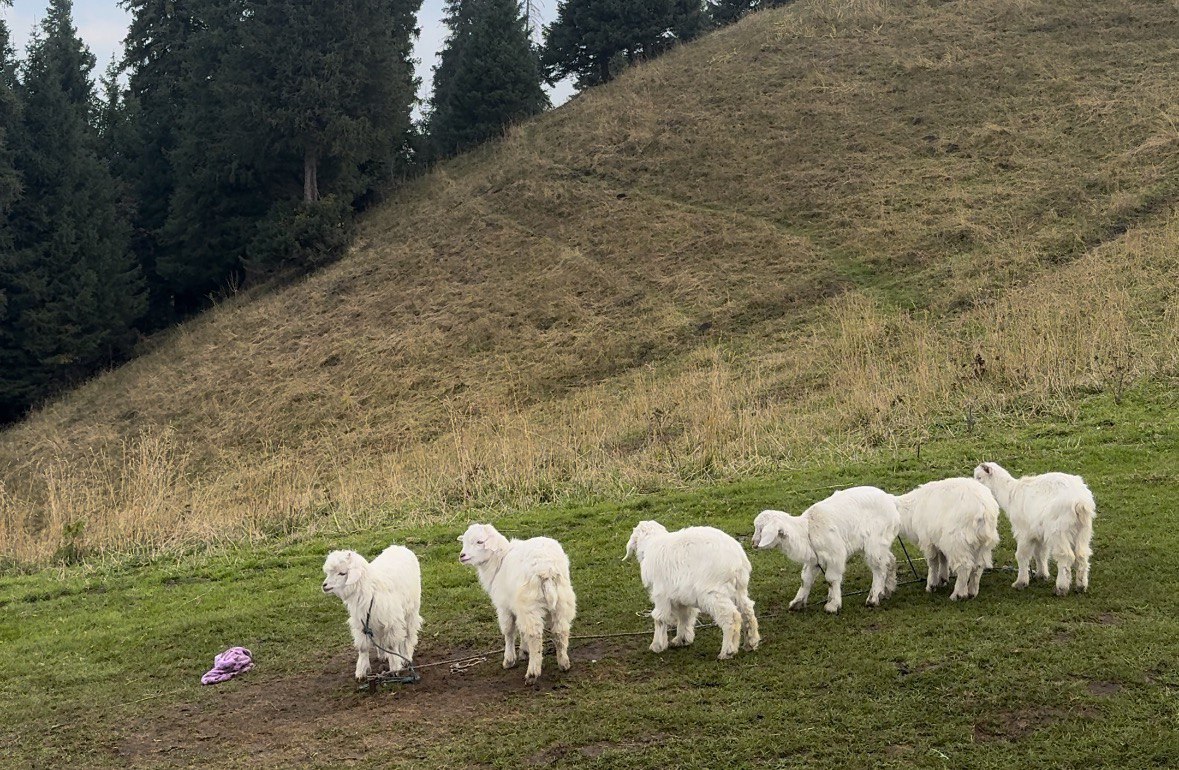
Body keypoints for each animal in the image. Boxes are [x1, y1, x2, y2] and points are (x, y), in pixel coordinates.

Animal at [323, 540, 424, 679]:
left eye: (342, 573)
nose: (324, 586)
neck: (370, 589)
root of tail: (399, 547)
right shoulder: (362, 622)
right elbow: (363, 647)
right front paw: (361, 671)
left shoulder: (392, 621)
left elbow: (392, 645)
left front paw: (395, 668)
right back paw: (382, 655)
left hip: (412, 609)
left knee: (409, 635)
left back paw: (406, 656)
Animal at [457, 523, 577, 679]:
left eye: (480, 541)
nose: (462, 556)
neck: (499, 560)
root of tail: (546, 569)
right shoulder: (516, 606)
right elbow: (521, 629)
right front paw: (524, 651)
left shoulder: (504, 606)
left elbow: (509, 631)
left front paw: (509, 659)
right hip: (563, 601)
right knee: (560, 631)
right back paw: (563, 663)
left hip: (530, 604)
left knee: (534, 635)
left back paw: (532, 672)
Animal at [622, 523, 759, 660]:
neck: (652, 543)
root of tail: (738, 560)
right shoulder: (681, 595)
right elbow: (685, 615)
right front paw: (682, 639)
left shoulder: (661, 594)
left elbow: (659, 617)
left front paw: (657, 645)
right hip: (738, 589)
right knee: (747, 610)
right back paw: (751, 642)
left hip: (712, 592)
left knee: (732, 616)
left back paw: (727, 651)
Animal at [754, 485, 900, 613]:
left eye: (760, 529)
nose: (753, 543)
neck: (806, 530)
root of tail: (891, 499)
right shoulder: (814, 559)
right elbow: (805, 579)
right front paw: (797, 603)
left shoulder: (835, 555)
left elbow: (831, 579)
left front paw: (832, 605)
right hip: (881, 542)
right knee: (889, 560)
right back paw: (888, 589)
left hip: (875, 540)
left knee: (879, 568)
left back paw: (873, 598)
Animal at [976, 462, 1094, 594]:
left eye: (979, 477)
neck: (1009, 493)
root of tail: (1080, 502)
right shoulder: (1039, 533)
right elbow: (1040, 553)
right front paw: (1041, 574)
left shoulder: (1023, 531)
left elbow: (1021, 555)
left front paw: (1021, 582)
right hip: (1083, 530)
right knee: (1082, 555)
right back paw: (1081, 586)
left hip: (1058, 530)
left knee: (1066, 556)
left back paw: (1061, 588)